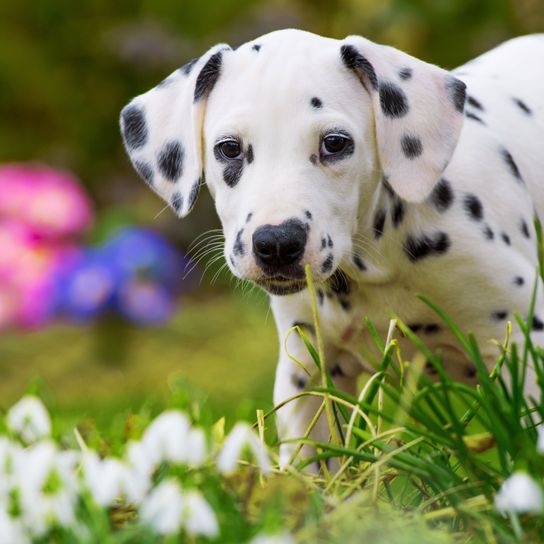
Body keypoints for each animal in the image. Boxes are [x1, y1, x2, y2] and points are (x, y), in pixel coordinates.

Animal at [121, 29, 544, 466]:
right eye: (229, 148)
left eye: (335, 143)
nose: (277, 243)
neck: (378, 261)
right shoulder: (308, 373)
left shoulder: (522, 350)